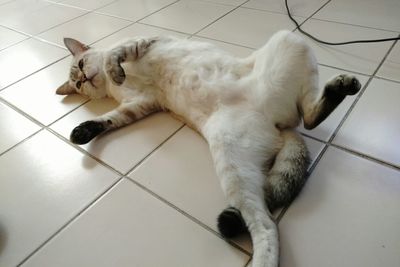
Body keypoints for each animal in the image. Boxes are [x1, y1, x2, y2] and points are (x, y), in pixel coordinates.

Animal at [55, 30, 360, 266]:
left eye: (80, 64)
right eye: (78, 83)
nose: (83, 79)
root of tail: (280, 125)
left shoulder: (142, 43)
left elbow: (112, 56)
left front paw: (112, 70)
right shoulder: (139, 104)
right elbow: (109, 119)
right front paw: (82, 132)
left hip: (288, 38)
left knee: (307, 119)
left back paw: (343, 86)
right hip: (235, 168)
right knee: (267, 222)